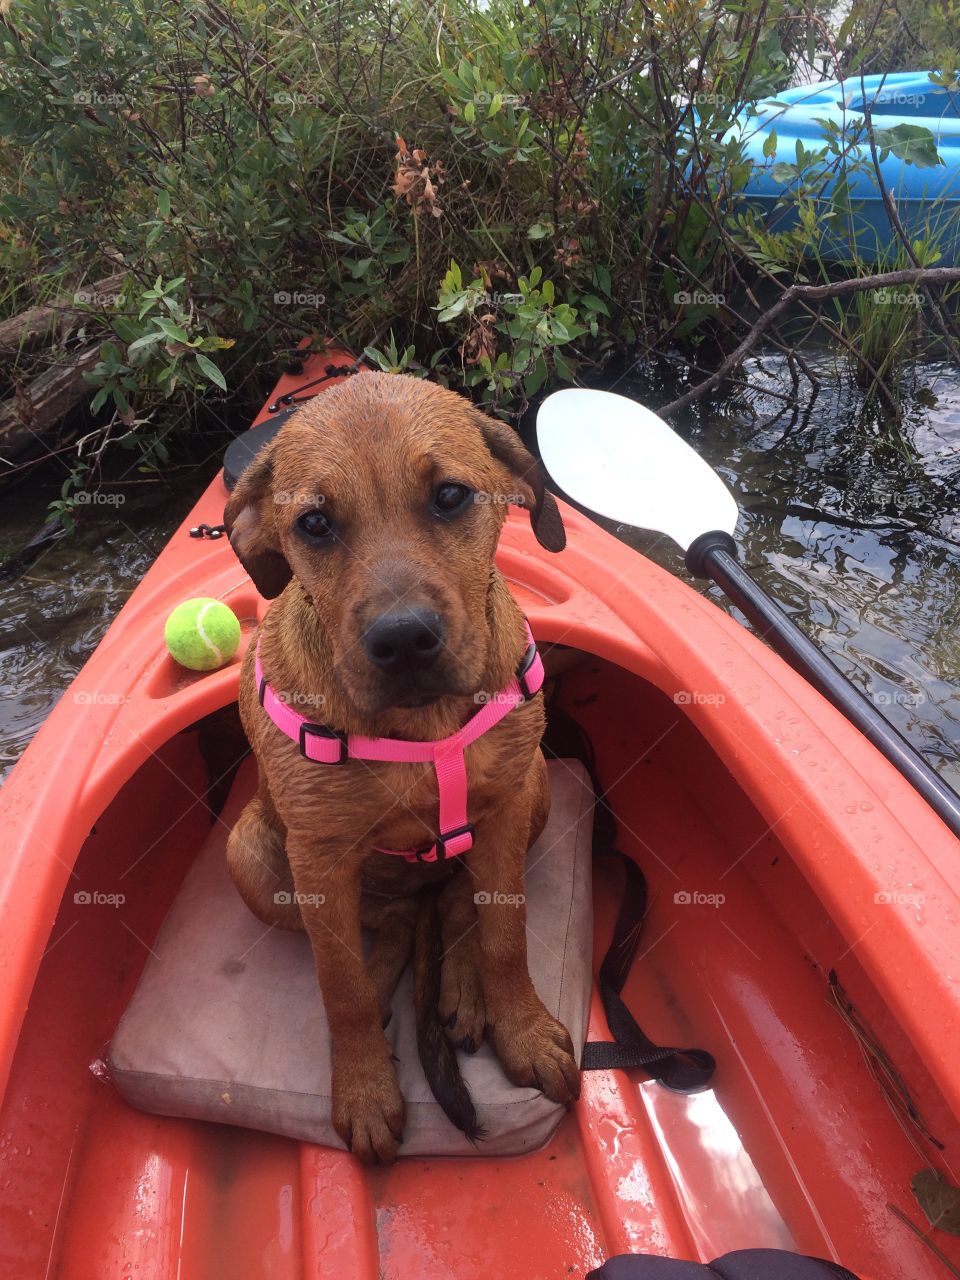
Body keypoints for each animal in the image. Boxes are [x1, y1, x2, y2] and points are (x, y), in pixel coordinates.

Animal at [224, 371, 578, 1162]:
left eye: (450, 496)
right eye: (314, 524)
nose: (405, 640)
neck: (424, 729)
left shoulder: (506, 806)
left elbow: (505, 932)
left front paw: (523, 1029)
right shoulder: (319, 857)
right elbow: (340, 984)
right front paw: (361, 1087)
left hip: (538, 787)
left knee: (453, 899)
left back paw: (461, 990)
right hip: (252, 860)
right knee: (381, 930)